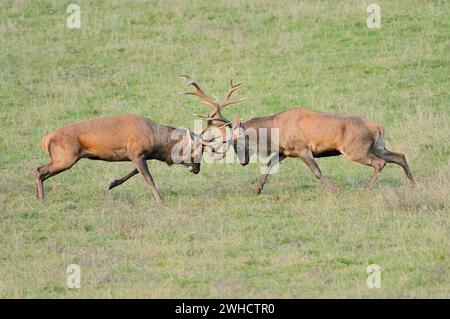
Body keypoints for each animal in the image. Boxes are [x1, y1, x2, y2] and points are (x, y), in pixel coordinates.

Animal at [34, 110, 219, 202]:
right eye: (196, 150)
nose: (197, 169)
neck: (156, 142)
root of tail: (46, 138)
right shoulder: (136, 152)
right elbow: (148, 177)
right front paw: (160, 199)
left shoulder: (140, 155)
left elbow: (135, 172)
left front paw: (112, 183)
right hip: (65, 158)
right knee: (39, 170)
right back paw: (42, 199)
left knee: (41, 172)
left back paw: (38, 197)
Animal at [182, 76, 414, 194]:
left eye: (237, 142)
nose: (243, 162)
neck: (274, 133)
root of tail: (379, 127)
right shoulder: (284, 152)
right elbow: (267, 168)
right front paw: (257, 189)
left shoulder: (302, 149)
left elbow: (317, 172)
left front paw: (334, 188)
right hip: (378, 146)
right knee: (399, 156)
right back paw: (412, 182)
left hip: (355, 149)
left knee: (380, 163)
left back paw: (366, 188)